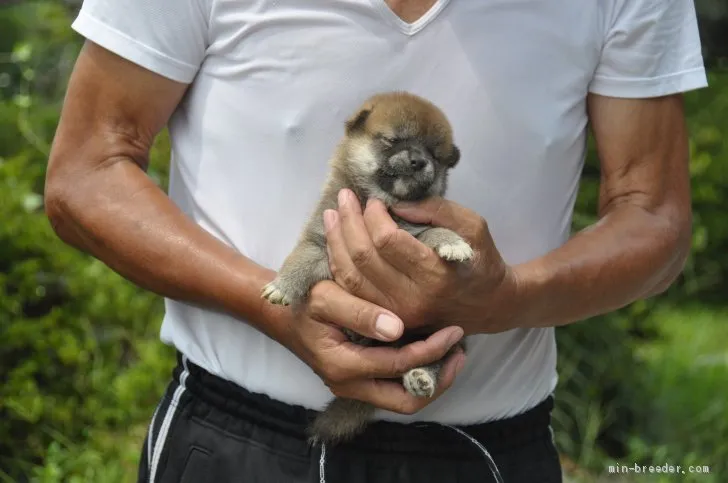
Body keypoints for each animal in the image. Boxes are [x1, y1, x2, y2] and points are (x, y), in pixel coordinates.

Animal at [262, 91, 472, 446]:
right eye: (393, 140)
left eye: (435, 154)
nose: (418, 161)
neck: (380, 204)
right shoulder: (320, 240)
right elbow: (300, 261)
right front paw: (282, 286)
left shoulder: (416, 232)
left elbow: (435, 232)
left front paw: (454, 242)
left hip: (441, 333)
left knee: (437, 359)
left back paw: (421, 377)